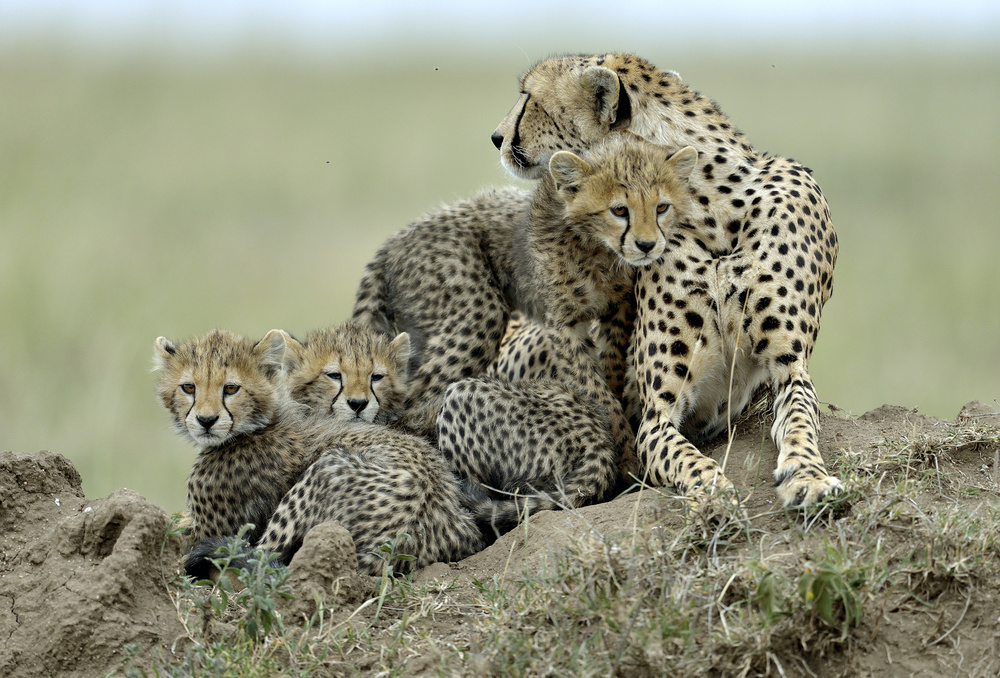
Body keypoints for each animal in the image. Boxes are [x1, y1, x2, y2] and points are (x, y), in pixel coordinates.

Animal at [492, 52, 841, 508]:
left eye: (529, 98)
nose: (496, 137)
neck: (711, 208)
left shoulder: (789, 368)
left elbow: (800, 421)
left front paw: (809, 477)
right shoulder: (657, 413)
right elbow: (682, 457)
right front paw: (713, 492)